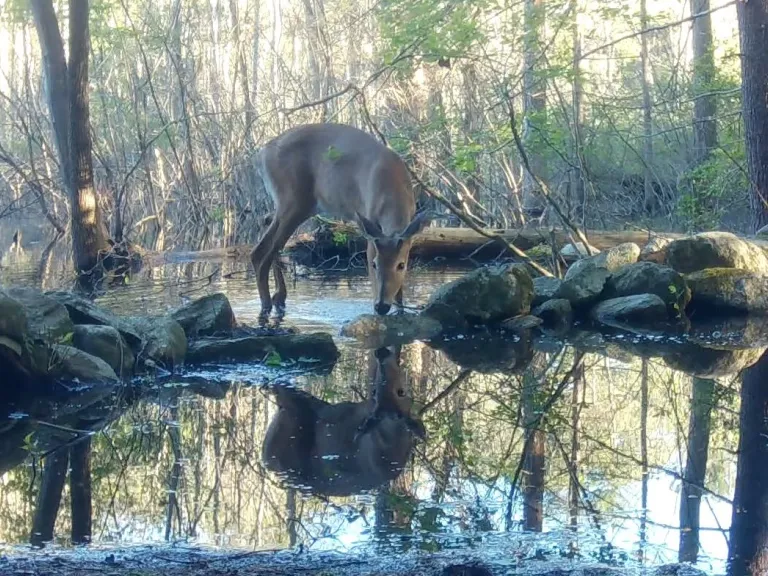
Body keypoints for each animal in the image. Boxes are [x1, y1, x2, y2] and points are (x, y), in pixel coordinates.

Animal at [251, 123, 430, 321]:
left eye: (401, 265)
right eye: (374, 264)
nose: (382, 306)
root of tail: (261, 155)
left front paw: (400, 311)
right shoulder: (369, 228)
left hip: (295, 205)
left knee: (266, 223)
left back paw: (279, 298)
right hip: (293, 201)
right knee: (261, 252)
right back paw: (266, 307)